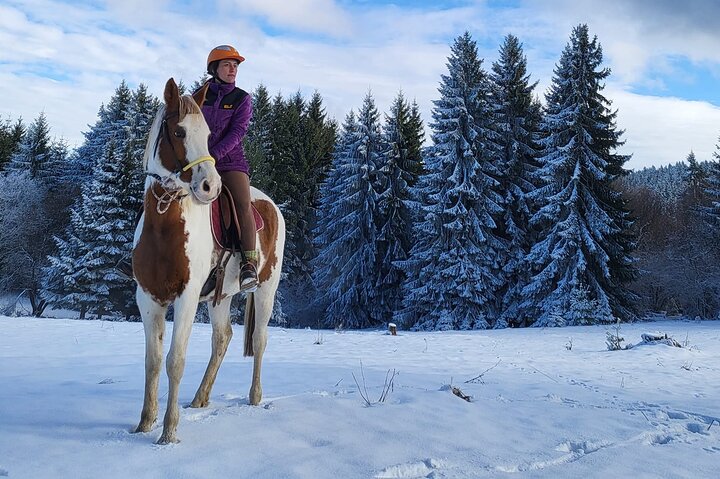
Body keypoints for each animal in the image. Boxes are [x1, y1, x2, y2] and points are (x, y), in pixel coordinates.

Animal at [131, 78, 285, 444]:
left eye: (208, 132)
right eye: (179, 131)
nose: (210, 186)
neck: (165, 225)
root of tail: (271, 205)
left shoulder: (186, 298)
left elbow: (175, 360)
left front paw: (169, 432)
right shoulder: (148, 299)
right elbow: (152, 361)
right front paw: (145, 423)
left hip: (266, 289)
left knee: (259, 340)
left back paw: (254, 397)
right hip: (221, 296)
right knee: (222, 337)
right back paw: (201, 397)